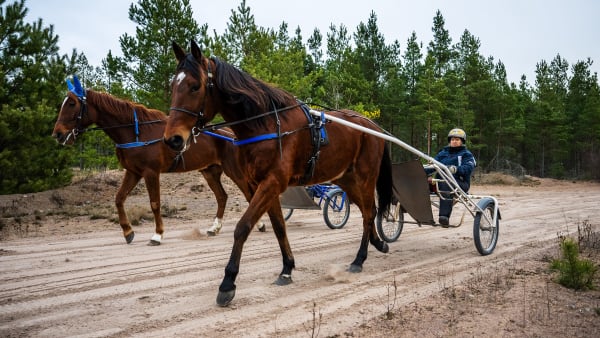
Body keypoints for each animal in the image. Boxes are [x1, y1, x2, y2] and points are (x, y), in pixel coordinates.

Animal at [52, 76, 264, 246]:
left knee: (249, 193)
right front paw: (128, 232)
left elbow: (154, 203)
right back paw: (215, 227)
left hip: (233, 170)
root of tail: (232, 133)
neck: (136, 132)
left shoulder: (150, 172)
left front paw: (157, 235)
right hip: (210, 171)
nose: (58, 134)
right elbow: (119, 198)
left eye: (72, 104)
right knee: (222, 196)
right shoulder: (133, 172)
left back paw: (260, 224)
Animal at [162, 40, 394, 306]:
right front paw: (287, 269)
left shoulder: (272, 182)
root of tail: (373, 126)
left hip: (365, 176)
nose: (172, 139)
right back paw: (378, 243)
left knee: (368, 213)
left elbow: (243, 227)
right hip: (345, 178)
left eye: (195, 86)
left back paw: (360, 258)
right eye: (173, 85)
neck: (266, 126)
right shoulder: (261, 185)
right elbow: (279, 227)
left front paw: (228, 283)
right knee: (369, 211)